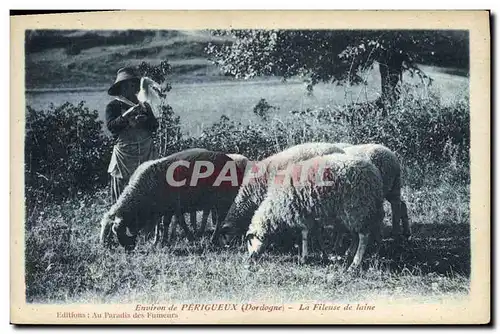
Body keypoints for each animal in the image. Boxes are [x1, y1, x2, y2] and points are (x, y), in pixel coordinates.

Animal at [98, 149, 243, 250]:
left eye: (117, 231)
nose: (129, 248)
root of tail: (233, 162)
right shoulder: (161, 208)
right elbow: (162, 224)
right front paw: (158, 241)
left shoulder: (173, 206)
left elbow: (177, 222)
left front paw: (186, 239)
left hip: (223, 199)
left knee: (220, 220)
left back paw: (213, 239)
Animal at [246, 154, 382, 272]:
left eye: (250, 241)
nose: (249, 259)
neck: (275, 206)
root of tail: (374, 173)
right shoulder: (310, 214)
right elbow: (315, 234)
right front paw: (324, 254)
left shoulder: (302, 213)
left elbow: (305, 235)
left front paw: (304, 258)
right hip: (351, 212)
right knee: (355, 234)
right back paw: (349, 254)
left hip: (358, 206)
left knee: (363, 237)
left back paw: (355, 264)